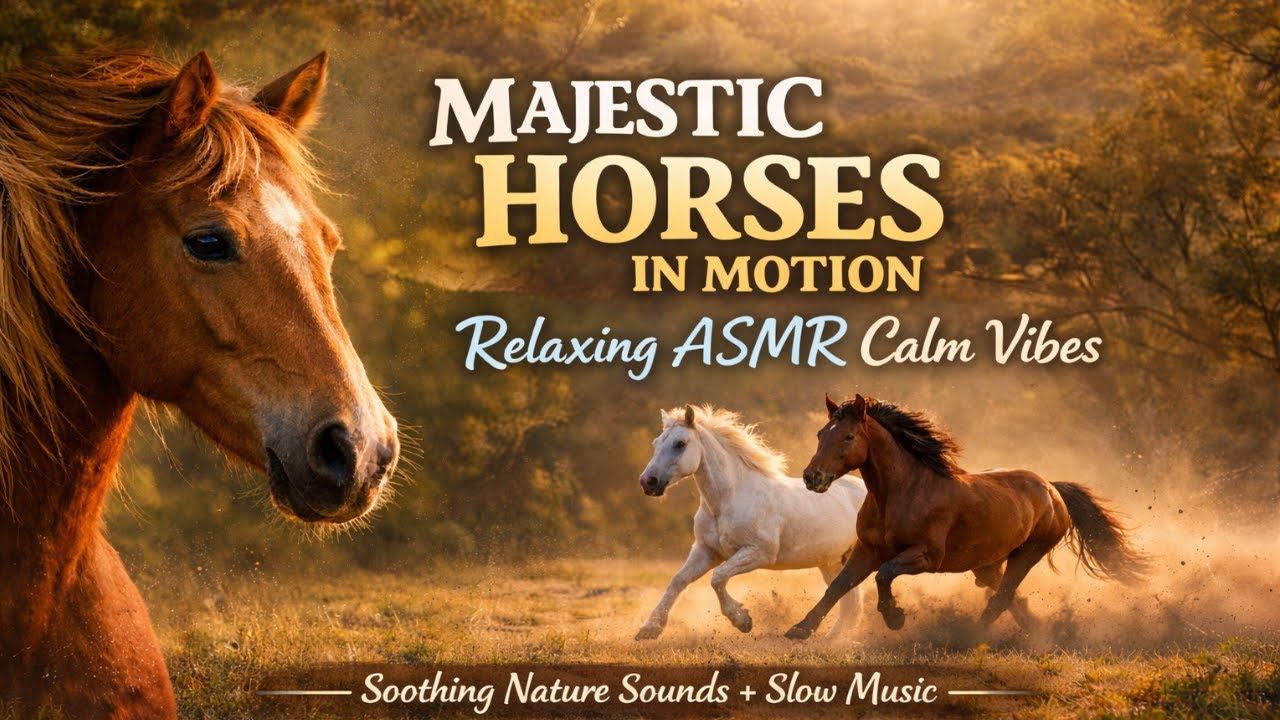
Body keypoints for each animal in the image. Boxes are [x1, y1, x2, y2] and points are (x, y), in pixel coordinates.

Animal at [635, 404, 867, 640]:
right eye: (656, 442)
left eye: (680, 443)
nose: (647, 482)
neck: (728, 501)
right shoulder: (706, 551)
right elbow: (678, 580)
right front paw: (649, 629)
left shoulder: (759, 552)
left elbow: (717, 577)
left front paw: (742, 620)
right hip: (833, 563)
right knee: (849, 600)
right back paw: (831, 640)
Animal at [785, 394, 1148, 640]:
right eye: (821, 434)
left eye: (848, 436)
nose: (812, 477)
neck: (902, 493)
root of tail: (1051, 489)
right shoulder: (867, 550)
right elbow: (838, 587)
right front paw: (800, 629)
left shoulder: (926, 557)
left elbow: (884, 575)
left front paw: (894, 617)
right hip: (986, 565)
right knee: (1009, 597)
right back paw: (1038, 634)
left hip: (1027, 554)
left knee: (1002, 599)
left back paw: (970, 639)